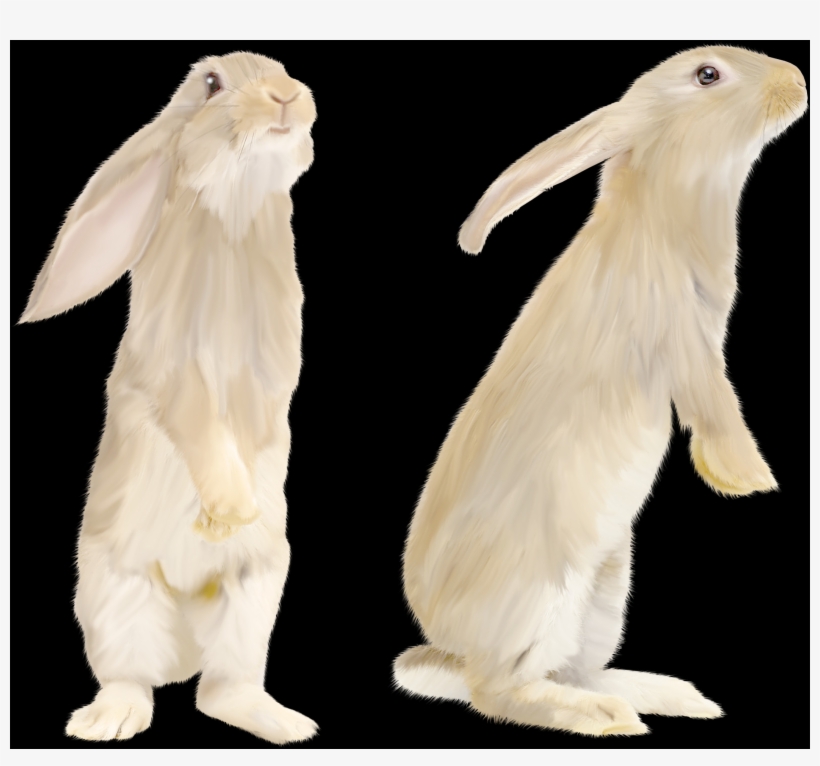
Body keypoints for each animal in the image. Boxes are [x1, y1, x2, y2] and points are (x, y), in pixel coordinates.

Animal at [19, 52, 319, 744]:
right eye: (210, 83)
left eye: (282, 68)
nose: (287, 96)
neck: (234, 215)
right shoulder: (176, 372)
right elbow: (197, 422)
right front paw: (229, 509)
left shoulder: (271, 379)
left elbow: (261, 427)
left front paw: (233, 516)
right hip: (116, 594)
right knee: (132, 679)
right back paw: (104, 723)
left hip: (255, 592)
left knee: (223, 689)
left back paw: (287, 724)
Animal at [394, 46, 807, 736]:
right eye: (707, 75)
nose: (798, 81)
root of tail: (449, 648)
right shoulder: (685, 341)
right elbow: (717, 405)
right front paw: (750, 480)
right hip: (540, 600)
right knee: (499, 693)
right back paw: (609, 718)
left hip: (606, 592)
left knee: (571, 670)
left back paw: (677, 696)